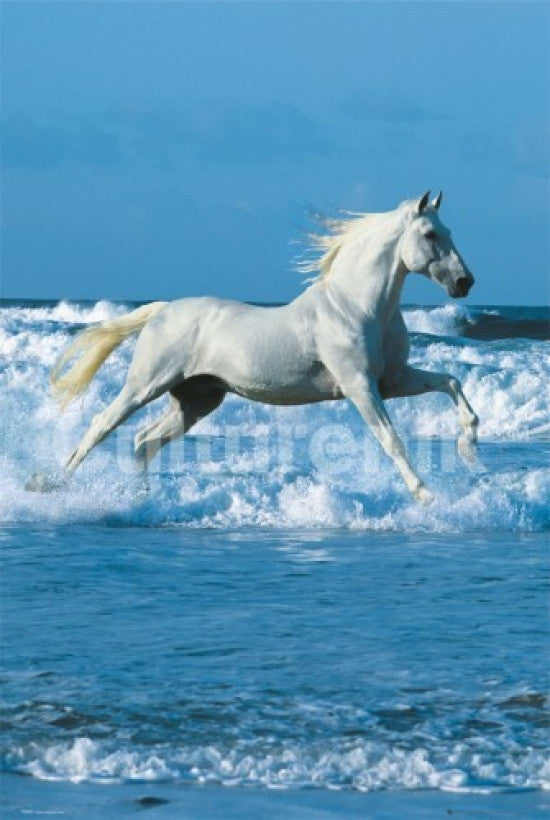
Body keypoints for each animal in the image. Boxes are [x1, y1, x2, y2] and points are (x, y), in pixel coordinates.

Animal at [48, 190, 478, 503]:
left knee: (144, 440)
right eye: (431, 235)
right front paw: (426, 495)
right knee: (101, 425)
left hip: (196, 400)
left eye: (451, 231)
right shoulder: (359, 386)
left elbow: (451, 382)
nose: (464, 282)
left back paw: (141, 500)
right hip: (146, 385)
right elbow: (391, 439)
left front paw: (470, 448)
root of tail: (162, 311)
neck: (356, 306)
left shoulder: (392, 380)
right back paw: (53, 485)